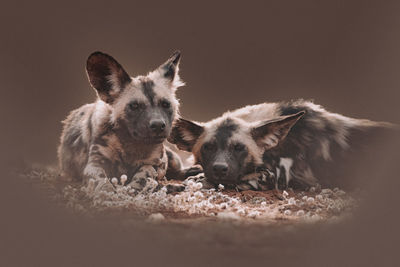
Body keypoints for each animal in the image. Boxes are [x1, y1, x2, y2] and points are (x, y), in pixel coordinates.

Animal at [58, 50, 197, 191]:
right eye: (134, 106)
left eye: (165, 104)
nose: (158, 125)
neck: (131, 144)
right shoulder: (94, 165)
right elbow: (103, 184)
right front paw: (112, 192)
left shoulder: (158, 163)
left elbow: (145, 173)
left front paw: (132, 188)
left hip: (172, 158)